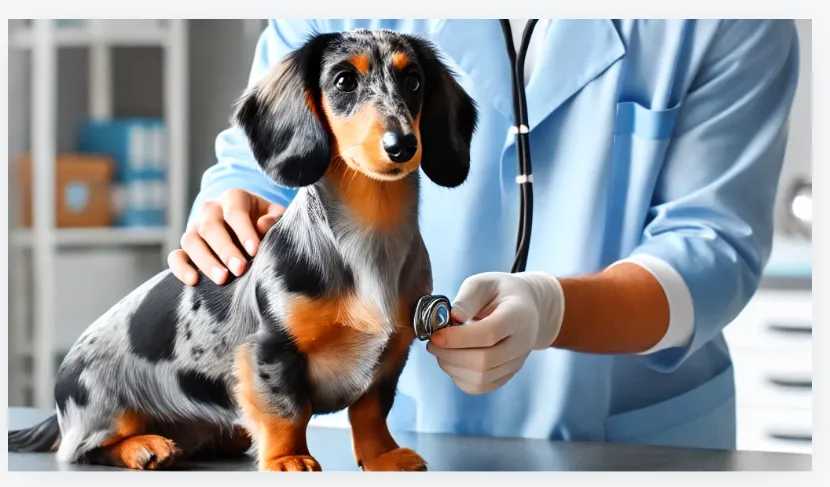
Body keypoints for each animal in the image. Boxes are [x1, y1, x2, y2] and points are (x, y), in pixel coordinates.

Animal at [6, 29, 478, 472]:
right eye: (344, 80)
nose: (403, 145)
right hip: (104, 410)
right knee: (84, 449)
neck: (367, 241)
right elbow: (287, 410)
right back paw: (144, 446)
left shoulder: (390, 358)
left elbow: (371, 412)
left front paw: (383, 456)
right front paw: (288, 458)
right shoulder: (270, 348)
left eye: (413, 80)